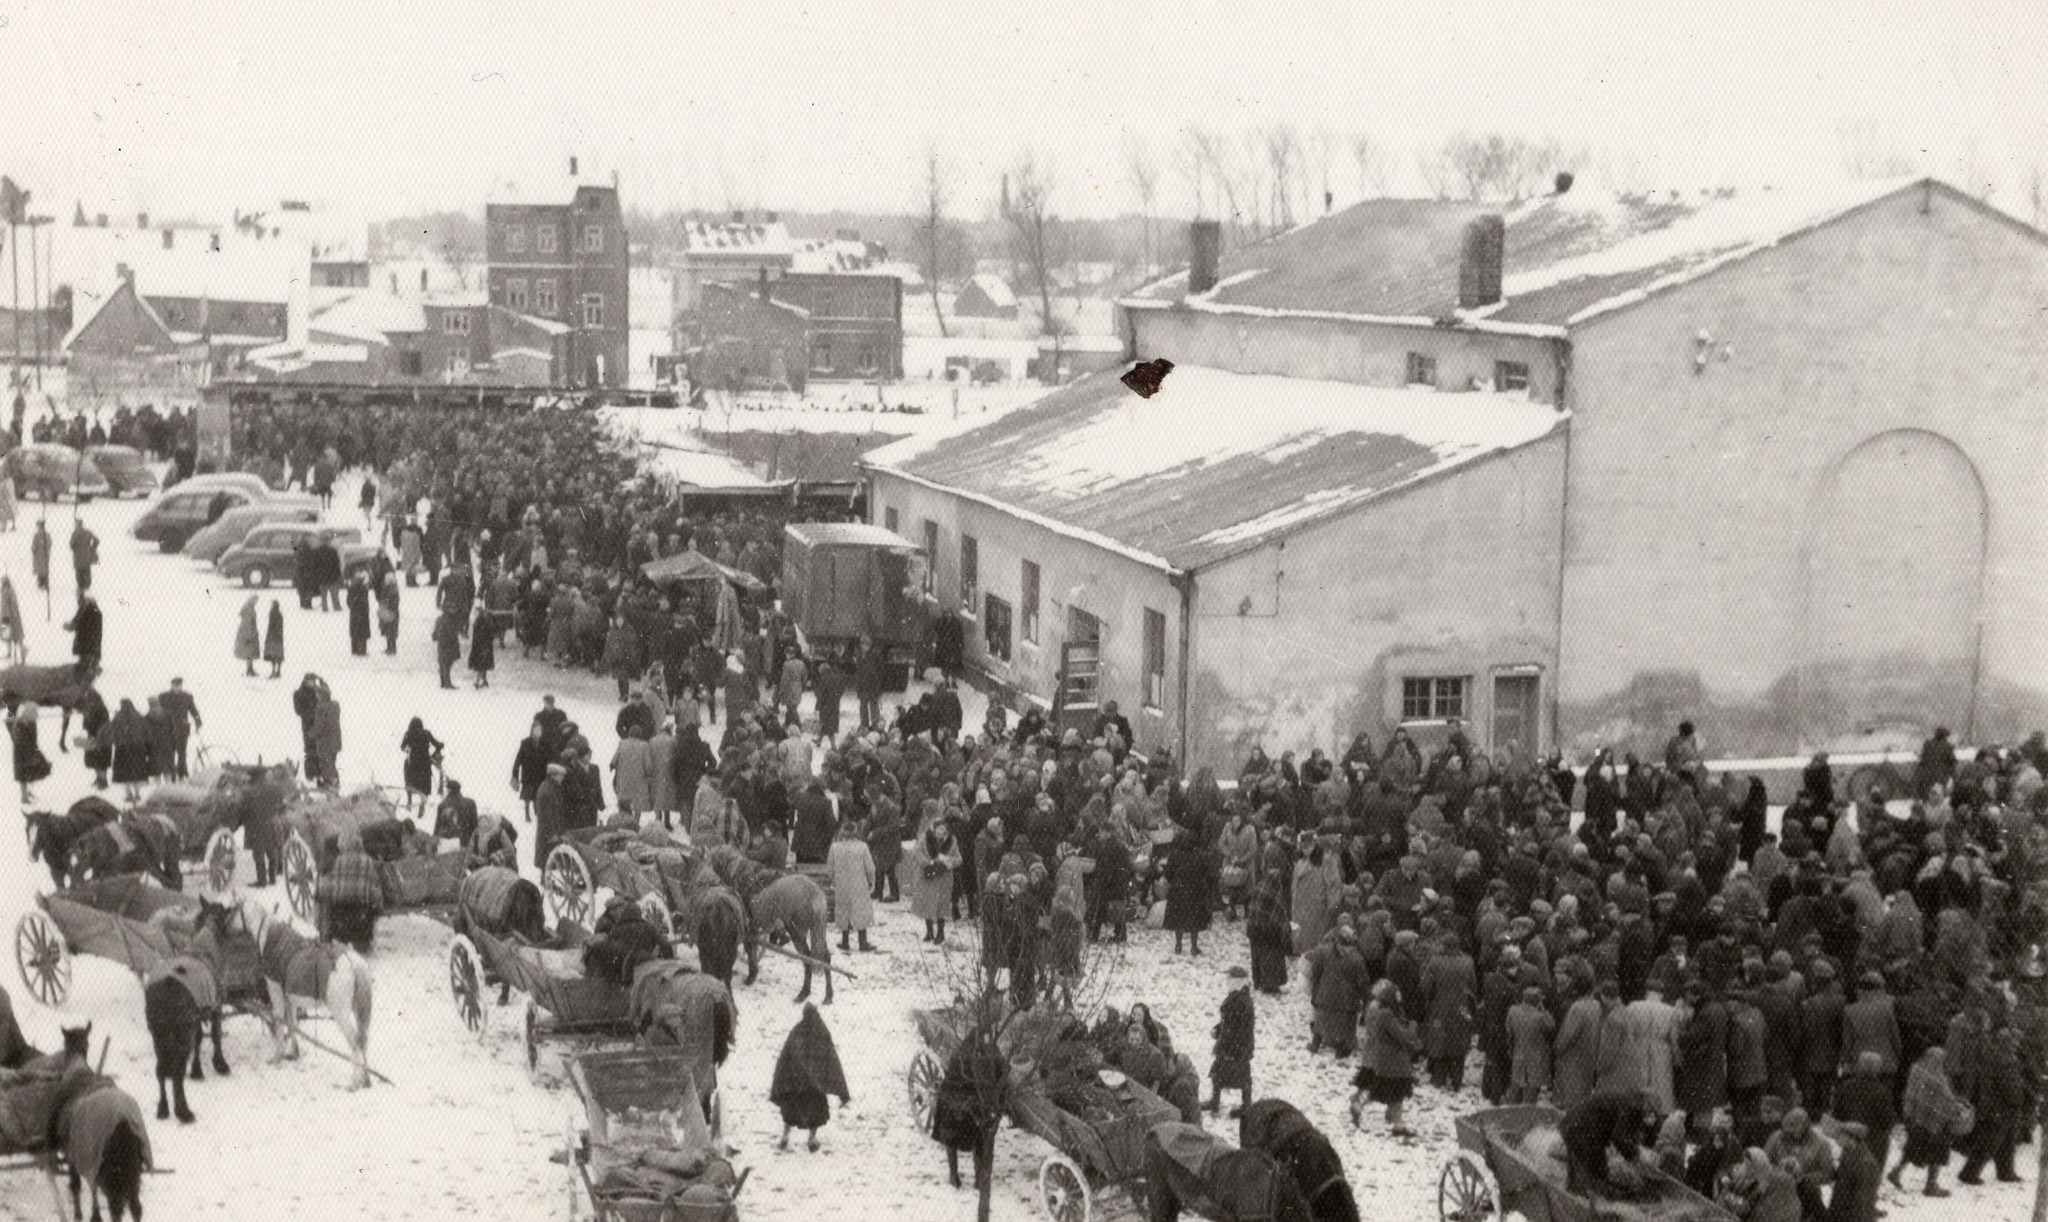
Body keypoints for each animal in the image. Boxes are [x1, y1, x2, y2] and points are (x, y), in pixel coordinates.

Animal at [197, 896, 374, 1088]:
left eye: (232, 909)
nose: (222, 929)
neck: (269, 939)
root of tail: (352, 961)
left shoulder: (275, 991)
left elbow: (278, 1020)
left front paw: (277, 1056)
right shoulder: (289, 997)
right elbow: (291, 1023)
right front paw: (293, 1053)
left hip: (340, 1012)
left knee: (355, 1041)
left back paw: (354, 1082)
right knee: (364, 1039)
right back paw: (366, 1079)